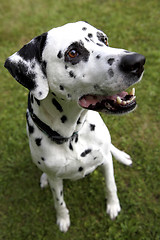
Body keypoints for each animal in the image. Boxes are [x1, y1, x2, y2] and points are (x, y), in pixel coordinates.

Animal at [4, 21, 145, 232]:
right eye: (72, 53)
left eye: (104, 39)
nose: (137, 61)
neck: (72, 135)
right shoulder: (56, 180)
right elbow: (59, 202)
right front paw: (63, 219)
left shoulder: (105, 161)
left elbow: (111, 185)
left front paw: (113, 205)